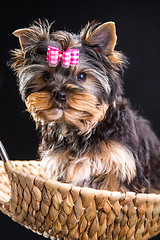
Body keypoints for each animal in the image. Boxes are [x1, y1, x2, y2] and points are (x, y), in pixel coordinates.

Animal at [10, 19, 160, 192]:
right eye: (46, 77)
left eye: (81, 76)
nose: (59, 94)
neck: (81, 128)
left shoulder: (121, 164)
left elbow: (114, 189)